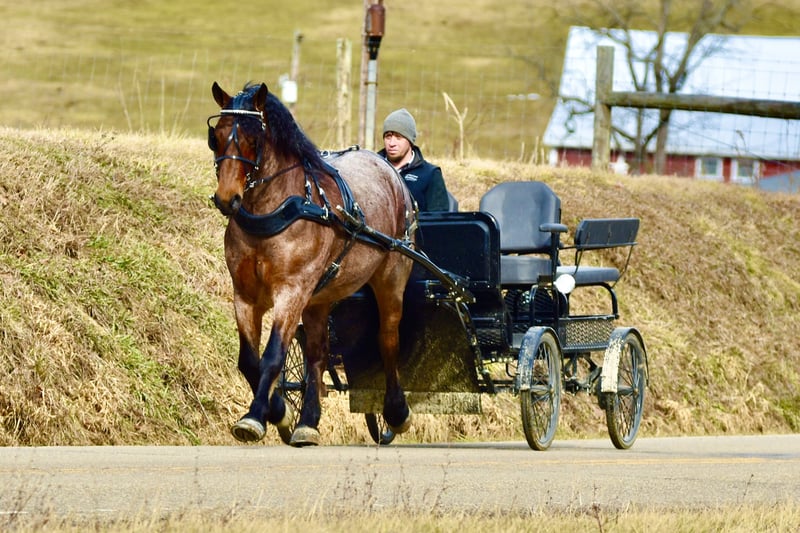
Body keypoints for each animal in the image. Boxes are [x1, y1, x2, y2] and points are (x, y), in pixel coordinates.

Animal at [207, 82, 416, 446]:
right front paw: (280, 412)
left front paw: (255, 416)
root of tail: (390, 169)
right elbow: (249, 360)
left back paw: (395, 410)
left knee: (388, 339)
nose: (226, 199)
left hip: (391, 278)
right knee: (317, 355)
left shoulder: (292, 291)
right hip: (320, 298)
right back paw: (308, 421)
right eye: (216, 136)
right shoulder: (245, 295)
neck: (274, 211)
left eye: (254, 139)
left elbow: (273, 355)